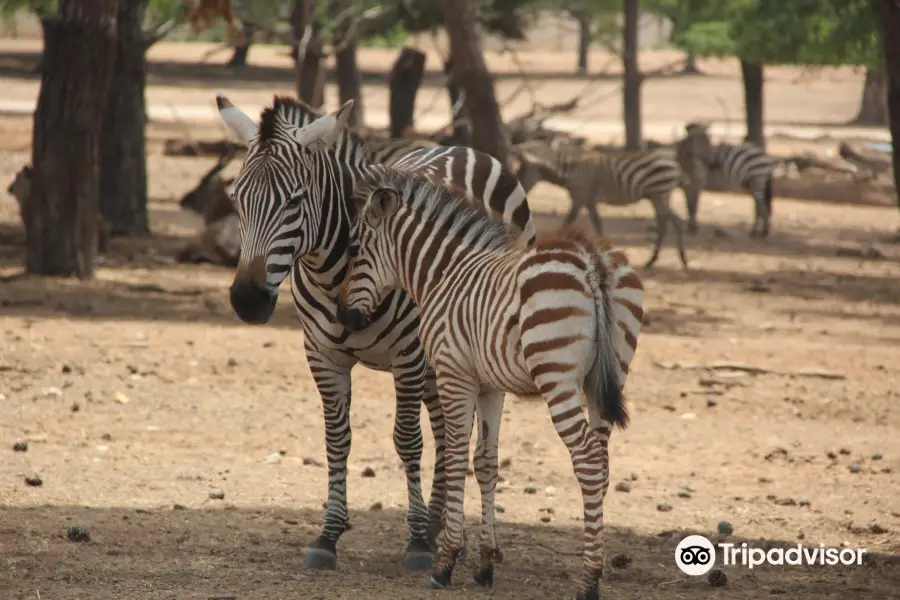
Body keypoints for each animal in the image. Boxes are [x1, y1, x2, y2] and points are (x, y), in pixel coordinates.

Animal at [214, 94, 536, 572]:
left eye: (294, 201)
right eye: (237, 199)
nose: (248, 300)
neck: (335, 275)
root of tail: (461, 148)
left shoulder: (407, 355)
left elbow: (407, 440)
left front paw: (418, 541)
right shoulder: (322, 355)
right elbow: (337, 440)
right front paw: (329, 535)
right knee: (446, 429)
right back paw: (441, 524)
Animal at [512, 141, 688, 268]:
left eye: (522, 170)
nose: (518, 191)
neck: (569, 169)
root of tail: (674, 162)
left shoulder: (579, 198)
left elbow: (567, 223)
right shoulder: (589, 201)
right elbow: (598, 225)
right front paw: (604, 253)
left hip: (659, 193)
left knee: (664, 224)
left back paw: (653, 260)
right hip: (658, 196)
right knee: (677, 222)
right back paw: (682, 259)